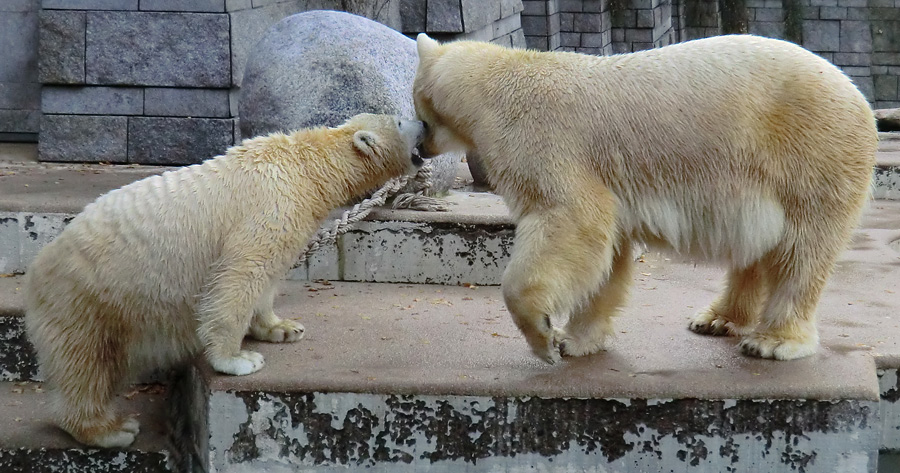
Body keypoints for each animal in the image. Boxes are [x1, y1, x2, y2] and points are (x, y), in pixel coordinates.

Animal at [23, 112, 426, 444]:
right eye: (400, 120)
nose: (424, 121)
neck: (307, 168)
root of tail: (37, 269)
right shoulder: (268, 206)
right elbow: (240, 274)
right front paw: (237, 359)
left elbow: (267, 277)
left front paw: (282, 328)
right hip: (88, 296)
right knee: (85, 364)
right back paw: (110, 430)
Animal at [414, 34, 880, 366]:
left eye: (419, 111)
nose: (418, 148)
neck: (504, 80)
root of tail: (858, 96)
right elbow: (607, 254)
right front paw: (576, 340)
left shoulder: (542, 141)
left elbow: (570, 219)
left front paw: (544, 337)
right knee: (759, 248)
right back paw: (716, 318)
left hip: (811, 155)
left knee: (801, 251)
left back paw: (772, 341)